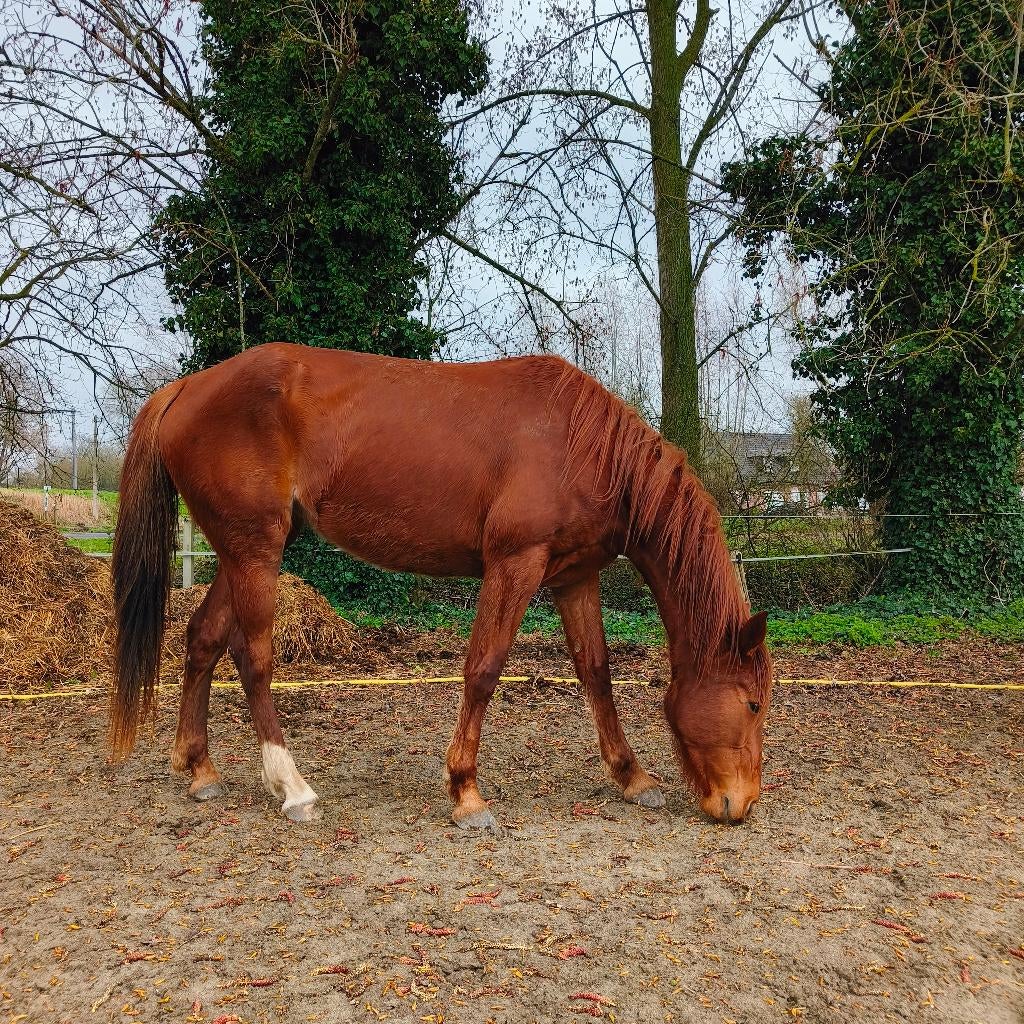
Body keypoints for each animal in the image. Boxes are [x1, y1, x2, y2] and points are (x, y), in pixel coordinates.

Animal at [109, 343, 772, 827]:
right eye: (753, 703)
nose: (739, 804)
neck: (582, 447)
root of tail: (185, 388)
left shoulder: (574, 577)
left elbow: (596, 672)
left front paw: (633, 778)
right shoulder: (514, 564)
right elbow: (483, 668)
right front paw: (466, 792)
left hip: (239, 551)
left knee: (202, 639)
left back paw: (199, 769)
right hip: (256, 551)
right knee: (253, 657)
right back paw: (292, 788)